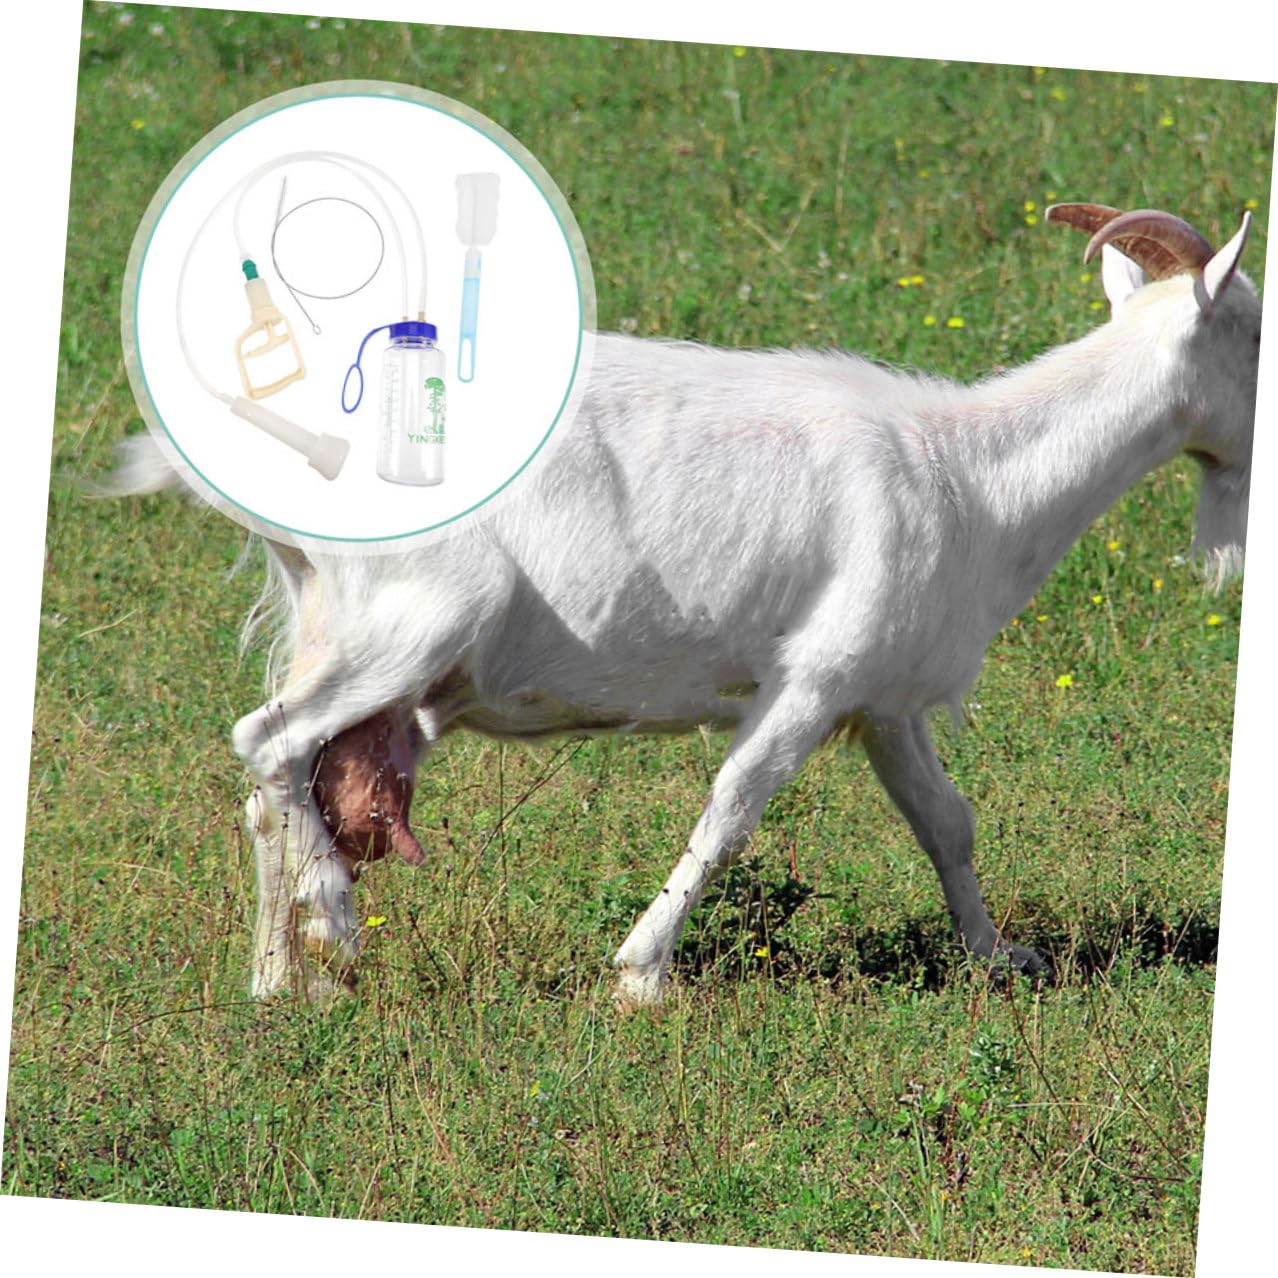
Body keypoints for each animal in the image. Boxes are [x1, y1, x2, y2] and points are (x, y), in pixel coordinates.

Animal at [118, 203, 1260, 1004]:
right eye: (1254, 330)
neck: (971, 476)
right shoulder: (814, 677)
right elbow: (734, 806)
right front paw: (640, 973)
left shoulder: (881, 694)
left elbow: (948, 822)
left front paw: (997, 956)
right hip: (409, 622)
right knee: (267, 740)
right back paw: (338, 928)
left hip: (340, 629)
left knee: (279, 784)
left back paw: (279, 982)